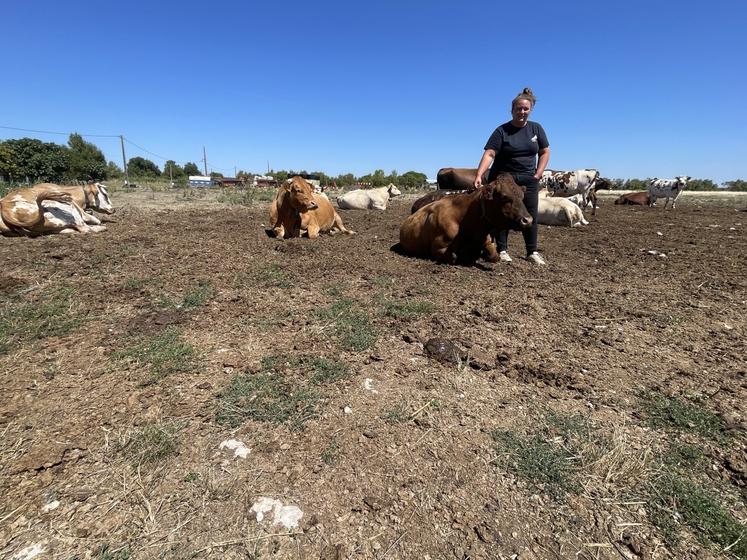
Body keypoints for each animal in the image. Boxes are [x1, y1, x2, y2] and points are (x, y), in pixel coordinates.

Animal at [398, 174, 532, 265]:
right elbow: (455, 257)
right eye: (504, 196)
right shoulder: (438, 248)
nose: (528, 220)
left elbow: (495, 256)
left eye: (522, 196)